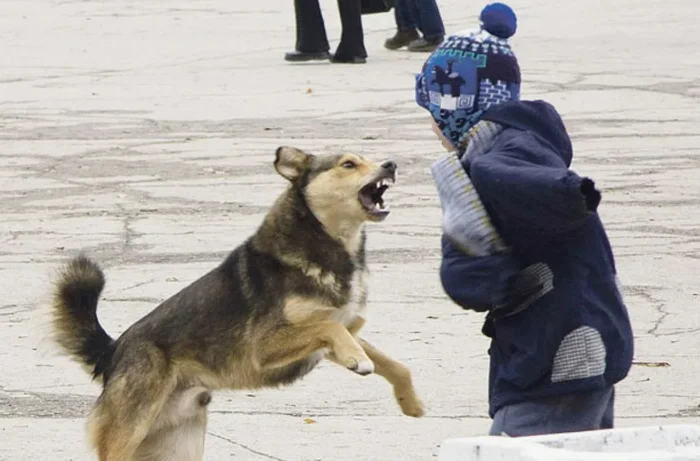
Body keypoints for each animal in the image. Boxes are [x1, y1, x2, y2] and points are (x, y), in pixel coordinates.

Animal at [52, 147, 424, 460]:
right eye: (348, 164)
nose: (391, 164)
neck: (326, 243)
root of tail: (112, 352)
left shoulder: (338, 336)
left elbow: (393, 364)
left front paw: (411, 402)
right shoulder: (266, 346)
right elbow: (329, 325)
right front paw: (359, 362)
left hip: (178, 444)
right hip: (130, 430)